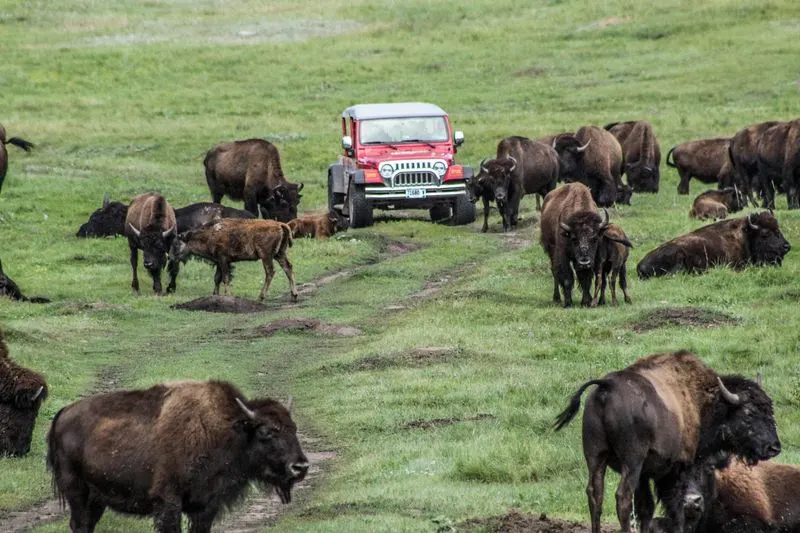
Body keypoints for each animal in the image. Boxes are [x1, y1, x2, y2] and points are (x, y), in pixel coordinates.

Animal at [48, 380, 308, 533]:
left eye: (294, 428)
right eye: (266, 432)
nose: (301, 466)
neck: (228, 430)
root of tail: (62, 414)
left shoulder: (206, 505)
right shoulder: (168, 501)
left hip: (97, 498)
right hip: (77, 491)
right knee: (80, 524)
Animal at [555, 350, 781, 533]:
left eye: (770, 409)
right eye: (748, 414)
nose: (774, 447)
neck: (702, 403)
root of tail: (606, 386)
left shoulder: (645, 474)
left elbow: (646, 508)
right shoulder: (678, 467)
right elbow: (676, 507)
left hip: (595, 456)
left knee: (595, 495)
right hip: (631, 462)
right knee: (623, 498)